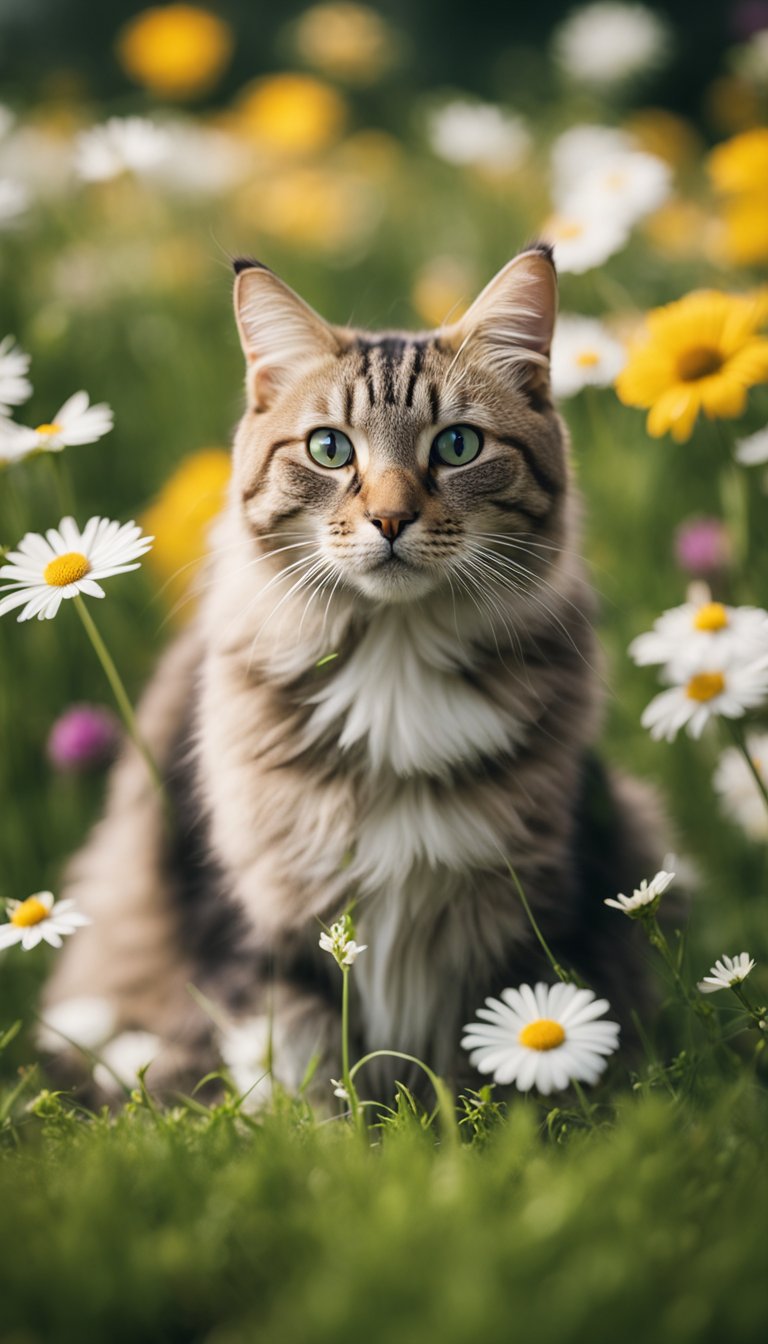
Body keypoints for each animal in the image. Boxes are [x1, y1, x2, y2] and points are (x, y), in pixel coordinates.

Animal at [43, 244, 667, 1102]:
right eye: (330, 449)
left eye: (458, 446)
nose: (391, 519)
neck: (394, 670)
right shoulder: (262, 929)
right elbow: (305, 1087)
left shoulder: (518, 916)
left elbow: (496, 1063)